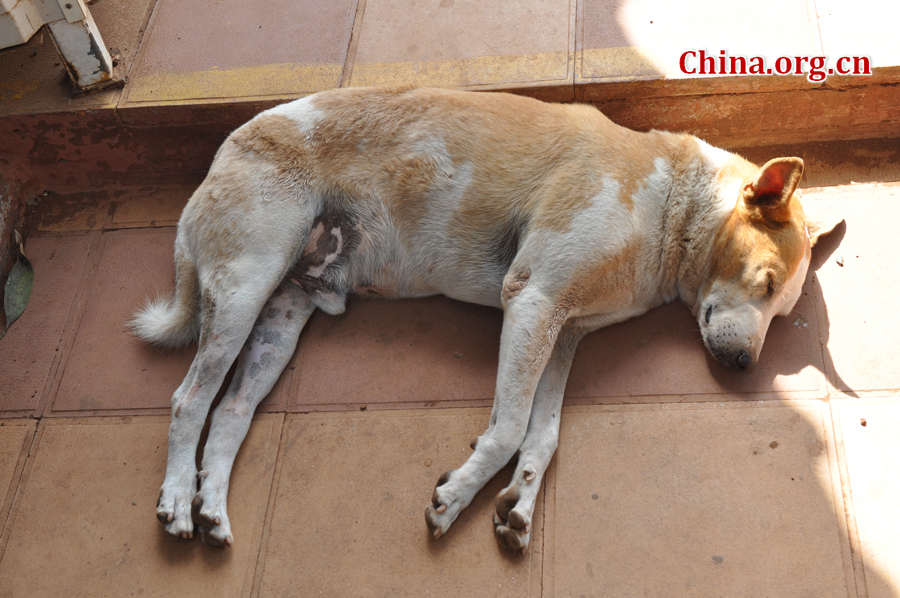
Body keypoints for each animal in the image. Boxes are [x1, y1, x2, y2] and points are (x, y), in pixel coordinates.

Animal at [130, 86, 840, 556]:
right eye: (764, 281)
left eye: (783, 312)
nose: (746, 366)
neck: (669, 198)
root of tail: (224, 151)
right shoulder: (533, 300)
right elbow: (507, 430)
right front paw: (456, 497)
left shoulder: (562, 333)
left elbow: (542, 437)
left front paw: (519, 507)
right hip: (245, 286)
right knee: (189, 398)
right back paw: (177, 501)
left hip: (280, 317)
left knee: (229, 412)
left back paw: (212, 508)